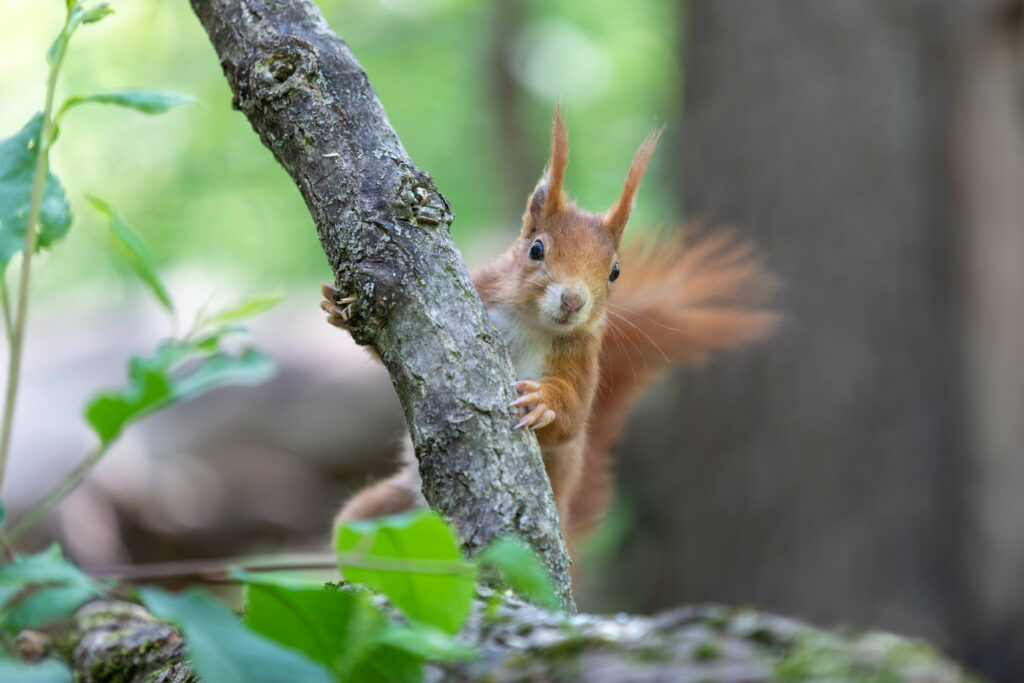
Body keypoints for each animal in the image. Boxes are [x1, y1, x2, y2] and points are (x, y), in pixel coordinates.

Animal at [321, 106, 776, 543]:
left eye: (614, 272)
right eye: (536, 249)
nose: (573, 301)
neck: (531, 324)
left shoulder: (582, 356)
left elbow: (574, 416)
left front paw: (544, 402)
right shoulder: (480, 292)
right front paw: (341, 309)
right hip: (377, 515)